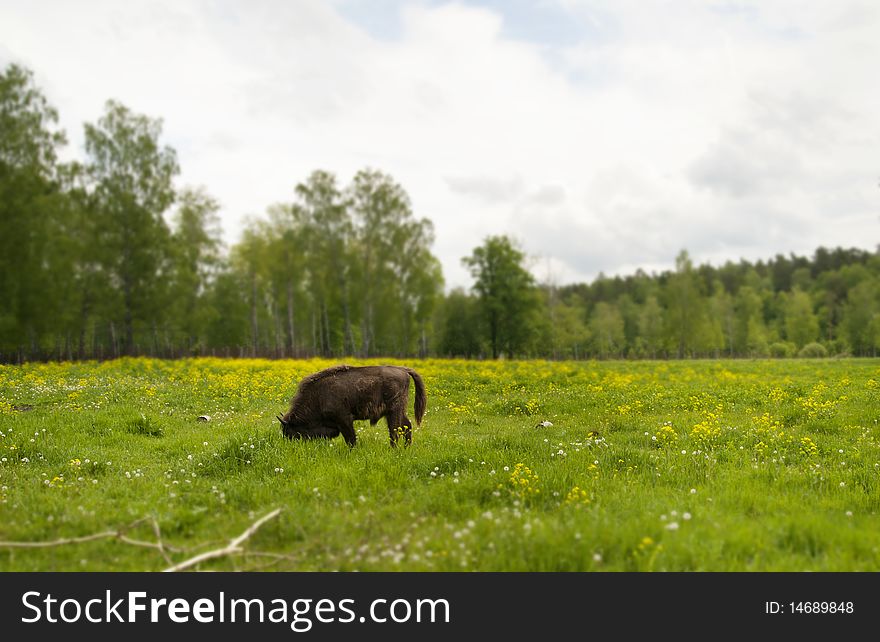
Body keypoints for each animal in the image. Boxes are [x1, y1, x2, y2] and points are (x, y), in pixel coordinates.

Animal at [276, 362, 426, 448]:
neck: (318, 396)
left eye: (289, 431)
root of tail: (404, 370)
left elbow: (351, 439)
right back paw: (406, 448)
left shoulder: (344, 420)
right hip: (398, 411)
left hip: (394, 411)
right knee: (406, 426)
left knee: (395, 430)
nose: (291, 445)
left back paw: (394, 449)